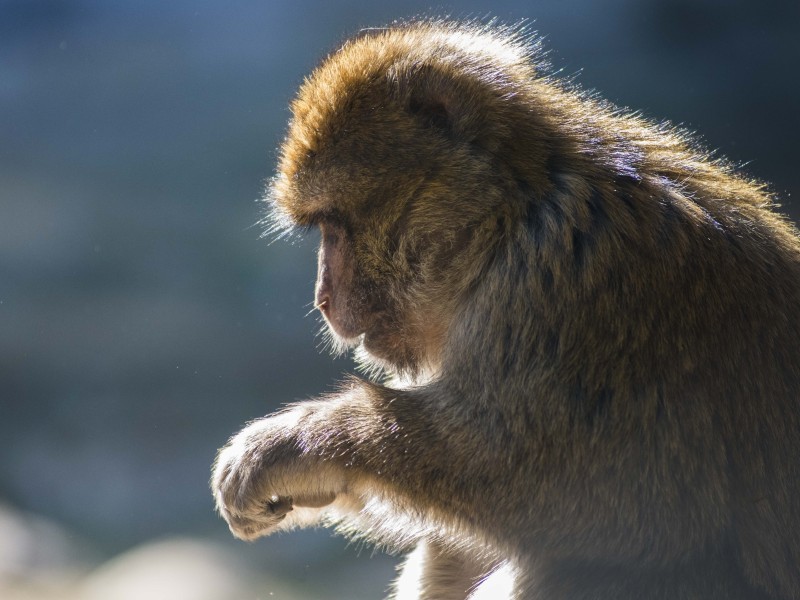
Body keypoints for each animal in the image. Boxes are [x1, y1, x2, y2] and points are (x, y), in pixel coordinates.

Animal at [212, 21, 800, 596]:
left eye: (334, 227)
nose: (323, 299)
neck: (513, 216)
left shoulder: (566, 289)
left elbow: (588, 501)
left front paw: (298, 444)